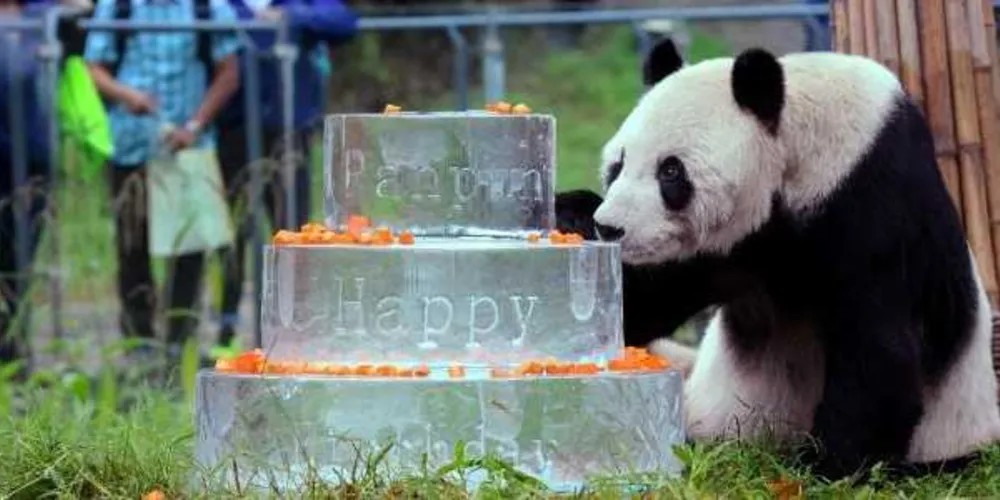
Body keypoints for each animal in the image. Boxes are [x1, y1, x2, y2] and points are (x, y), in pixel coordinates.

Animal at [558, 39, 1000, 480]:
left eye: (670, 172)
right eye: (618, 164)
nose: (611, 228)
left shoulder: (874, 206)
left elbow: (879, 349)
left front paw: (822, 465)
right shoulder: (728, 248)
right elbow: (644, 305)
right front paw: (572, 216)